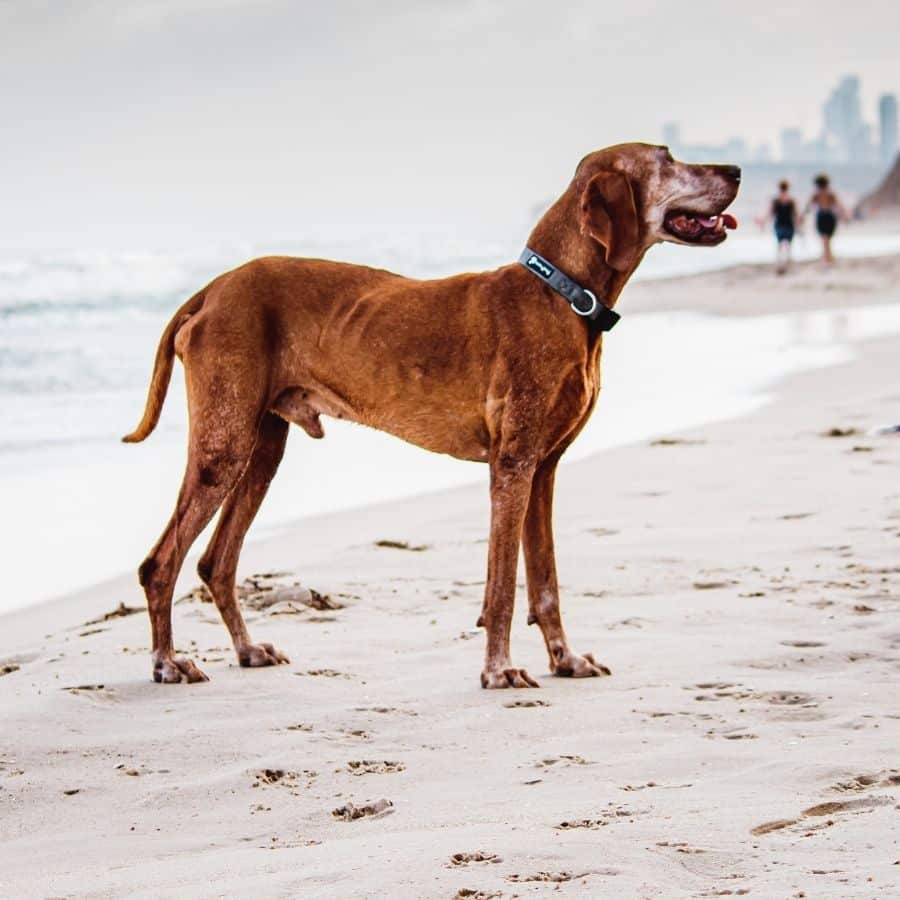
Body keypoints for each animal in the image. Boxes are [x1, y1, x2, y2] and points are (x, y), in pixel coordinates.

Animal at [125, 142, 740, 688]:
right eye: (666, 159)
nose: (735, 170)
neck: (562, 293)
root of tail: (211, 289)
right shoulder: (513, 467)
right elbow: (503, 585)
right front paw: (499, 670)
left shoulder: (543, 470)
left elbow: (544, 582)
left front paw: (564, 660)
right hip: (224, 446)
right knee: (162, 562)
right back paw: (167, 663)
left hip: (262, 448)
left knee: (215, 562)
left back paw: (248, 650)